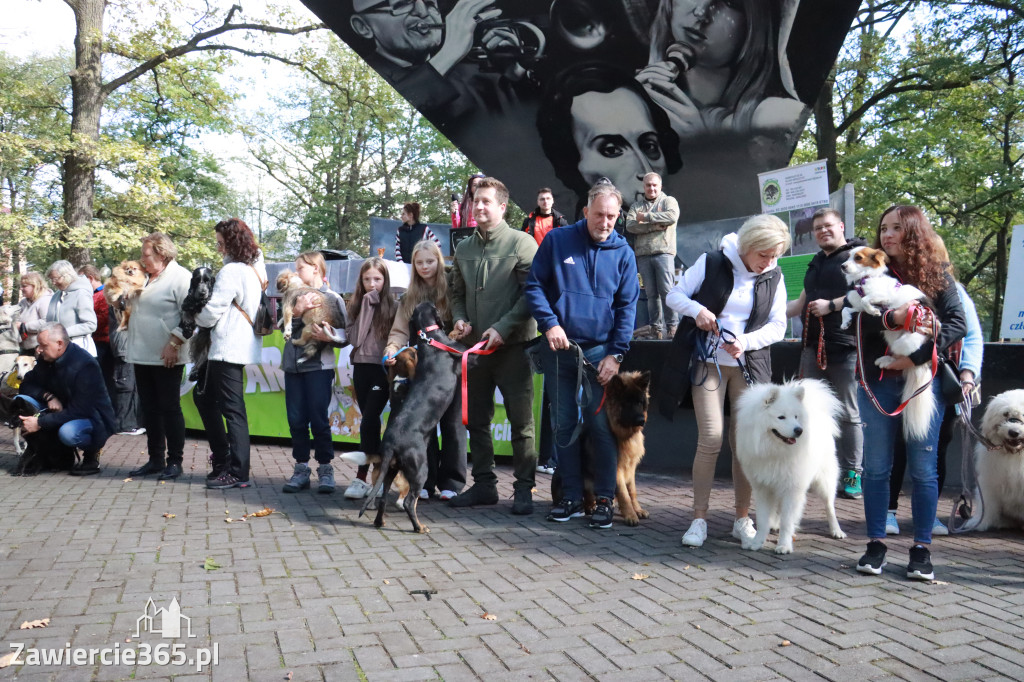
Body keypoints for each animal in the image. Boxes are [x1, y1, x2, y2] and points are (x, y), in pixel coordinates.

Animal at [552, 368, 655, 522]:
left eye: (639, 402)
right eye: (627, 403)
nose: (641, 420)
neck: (622, 434)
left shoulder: (630, 467)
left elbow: (632, 491)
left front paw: (637, 509)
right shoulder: (616, 469)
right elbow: (624, 493)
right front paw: (630, 515)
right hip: (584, 480)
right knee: (586, 497)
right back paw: (589, 507)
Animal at [737, 376, 847, 552]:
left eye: (795, 417)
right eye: (781, 417)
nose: (799, 430)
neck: (775, 451)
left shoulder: (792, 488)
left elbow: (787, 521)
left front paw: (784, 546)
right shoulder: (763, 488)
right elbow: (763, 520)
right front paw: (757, 542)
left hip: (824, 481)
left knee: (830, 506)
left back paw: (836, 530)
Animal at [839, 246, 937, 438]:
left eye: (858, 258)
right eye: (848, 257)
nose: (842, 266)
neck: (864, 279)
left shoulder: (882, 296)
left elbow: (866, 300)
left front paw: (874, 311)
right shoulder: (857, 309)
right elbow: (846, 309)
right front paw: (845, 322)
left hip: (906, 341)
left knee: (904, 357)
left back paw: (887, 360)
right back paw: (884, 360)